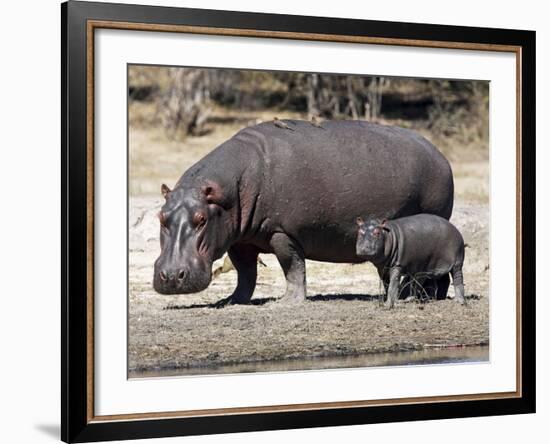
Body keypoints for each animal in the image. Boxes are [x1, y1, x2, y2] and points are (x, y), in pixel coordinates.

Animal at [153, 119, 454, 304]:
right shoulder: (239, 239)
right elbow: (245, 273)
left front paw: (287, 302)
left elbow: (293, 267)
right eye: (161, 217)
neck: (228, 192)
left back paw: (425, 298)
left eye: (201, 219)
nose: (171, 276)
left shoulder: (282, 233)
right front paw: (231, 301)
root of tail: (440, 154)